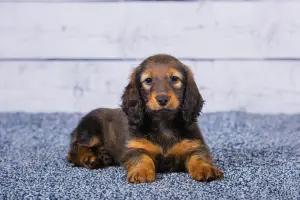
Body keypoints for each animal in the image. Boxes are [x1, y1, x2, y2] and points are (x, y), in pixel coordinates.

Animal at [67, 54, 224, 184]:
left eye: (175, 79)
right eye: (148, 80)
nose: (162, 99)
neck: (163, 124)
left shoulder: (195, 145)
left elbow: (199, 157)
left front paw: (205, 169)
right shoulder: (135, 147)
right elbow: (142, 158)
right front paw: (141, 172)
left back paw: (103, 155)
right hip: (90, 130)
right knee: (73, 151)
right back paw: (90, 158)